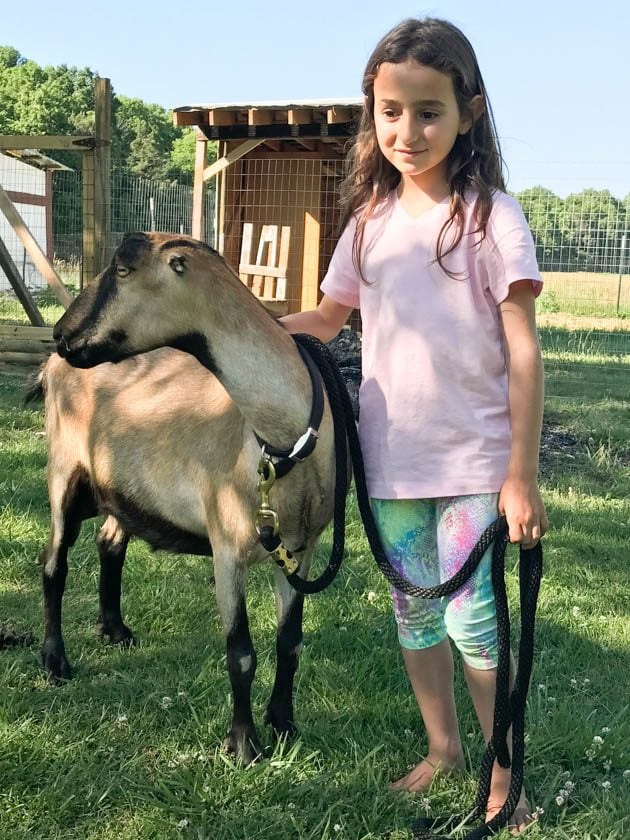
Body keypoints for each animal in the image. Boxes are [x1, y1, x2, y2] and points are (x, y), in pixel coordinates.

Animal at [33, 233, 340, 764]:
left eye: (122, 269)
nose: (61, 333)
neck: (277, 440)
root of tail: (52, 369)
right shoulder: (227, 548)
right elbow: (241, 654)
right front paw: (243, 745)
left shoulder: (301, 551)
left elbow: (290, 642)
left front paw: (284, 725)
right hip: (65, 470)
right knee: (55, 564)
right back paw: (56, 663)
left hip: (123, 487)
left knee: (110, 543)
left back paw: (115, 630)